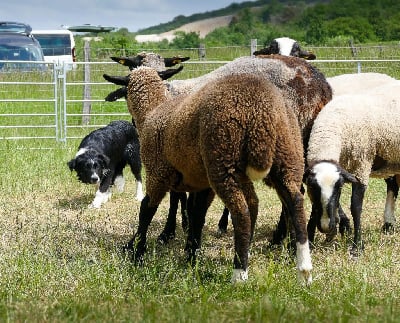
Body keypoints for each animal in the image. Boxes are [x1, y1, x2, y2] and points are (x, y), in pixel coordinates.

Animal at [123, 67, 314, 284]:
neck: (153, 110)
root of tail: (261, 108)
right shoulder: (200, 183)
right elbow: (196, 214)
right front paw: (191, 255)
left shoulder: (158, 172)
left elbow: (147, 209)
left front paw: (138, 252)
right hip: (286, 156)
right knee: (292, 201)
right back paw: (303, 269)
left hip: (223, 158)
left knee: (242, 211)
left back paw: (239, 273)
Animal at [304, 81, 400, 256]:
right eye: (312, 187)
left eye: (338, 187)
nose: (326, 226)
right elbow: (315, 207)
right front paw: (311, 242)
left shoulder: (361, 166)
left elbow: (356, 207)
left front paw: (357, 247)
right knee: (393, 186)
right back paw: (388, 224)